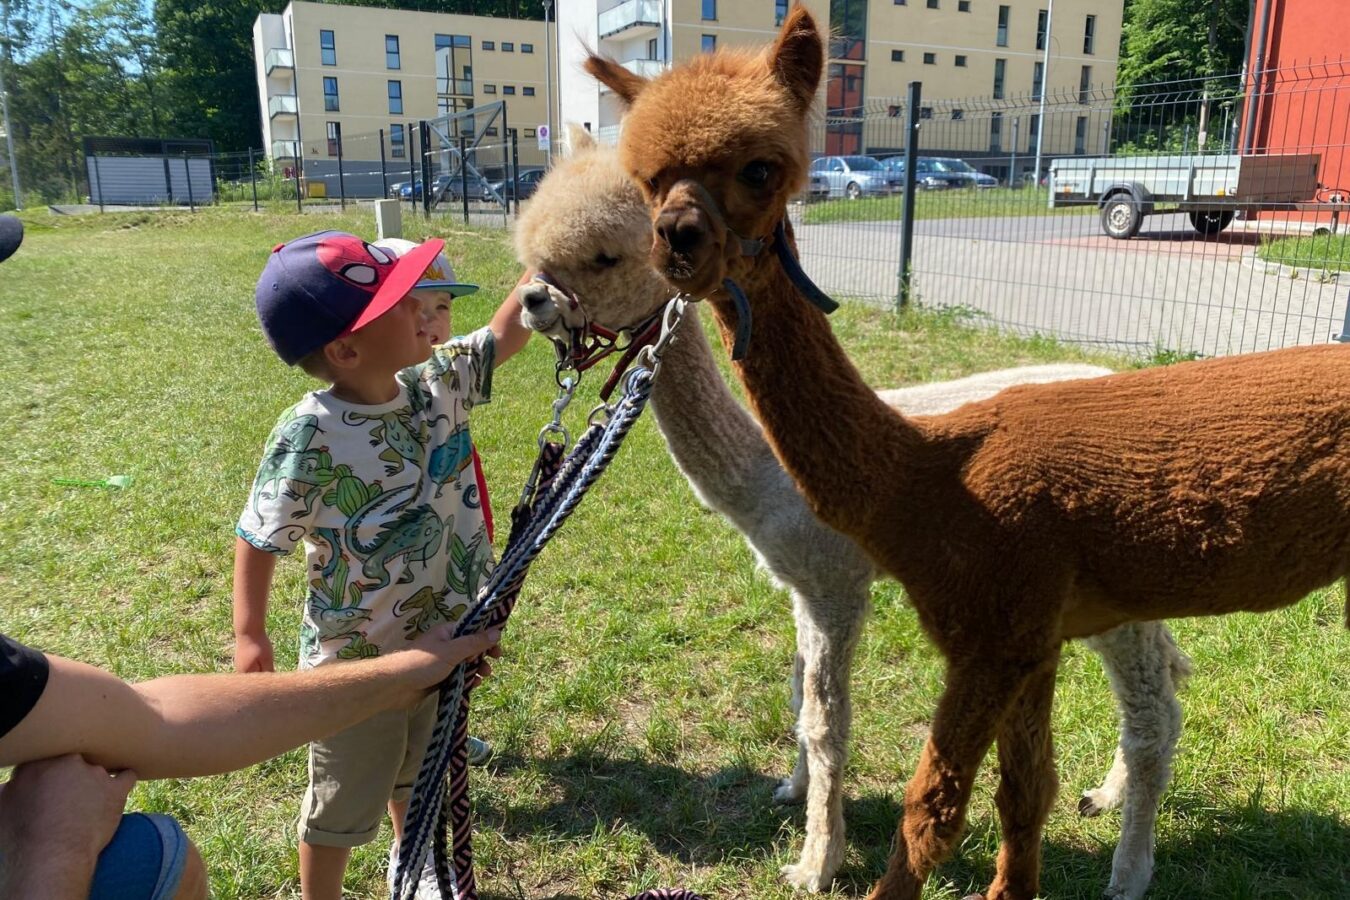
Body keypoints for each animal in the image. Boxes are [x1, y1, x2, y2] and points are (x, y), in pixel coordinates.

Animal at [511, 127, 1192, 898]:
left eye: (606, 256)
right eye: (535, 251)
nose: (531, 299)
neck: (767, 476)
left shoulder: (836, 581)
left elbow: (825, 719)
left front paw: (815, 861)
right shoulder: (800, 585)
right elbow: (798, 691)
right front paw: (793, 790)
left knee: (1153, 711)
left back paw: (1129, 873)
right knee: (1167, 673)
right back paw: (1104, 795)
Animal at [583, 6, 1350, 900]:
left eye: (761, 168)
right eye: (645, 181)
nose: (676, 240)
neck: (928, 472)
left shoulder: (990, 631)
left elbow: (930, 814)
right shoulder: (1030, 637)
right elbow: (1024, 795)